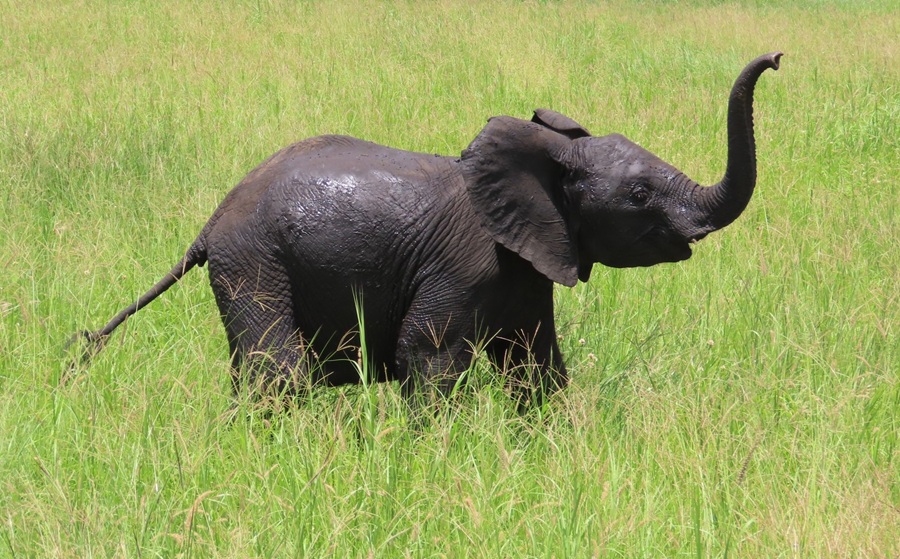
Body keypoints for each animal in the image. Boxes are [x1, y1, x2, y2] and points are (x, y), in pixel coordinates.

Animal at [71, 52, 782, 407]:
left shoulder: (528, 263)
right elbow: (429, 357)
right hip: (253, 258)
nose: (775, 58)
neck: (547, 158)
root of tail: (210, 221)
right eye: (638, 195)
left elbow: (536, 366)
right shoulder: (467, 263)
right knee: (279, 370)